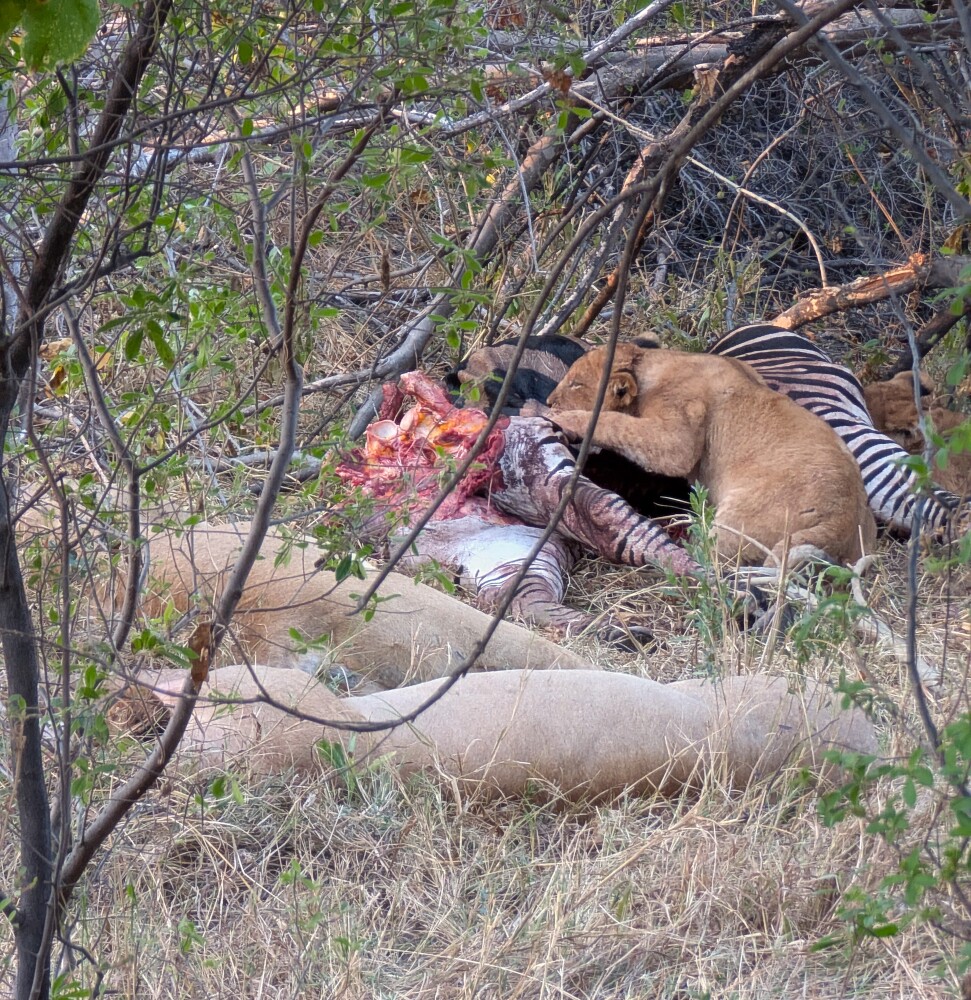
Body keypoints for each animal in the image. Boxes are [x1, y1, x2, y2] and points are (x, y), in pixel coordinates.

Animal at [546, 343, 877, 566]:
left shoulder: (677, 438)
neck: (652, 362)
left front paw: (565, 420)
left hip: (737, 522)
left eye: (575, 383)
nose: (549, 400)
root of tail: (841, 522)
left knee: (708, 560)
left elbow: (614, 422)